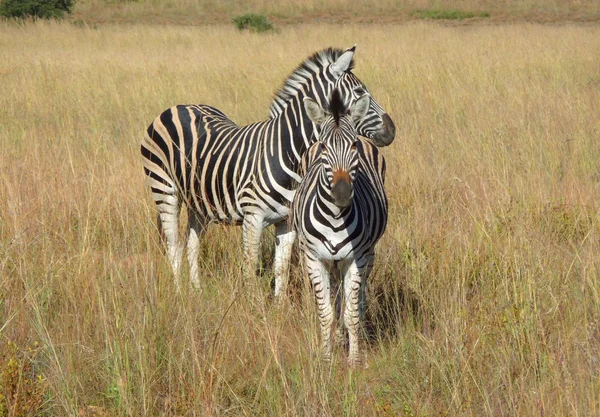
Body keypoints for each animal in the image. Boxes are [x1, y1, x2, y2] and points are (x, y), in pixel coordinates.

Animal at [141, 44, 394, 292]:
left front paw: (279, 304)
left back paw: (196, 291)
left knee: (192, 243)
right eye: (360, 92)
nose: (392, 130)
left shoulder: (287, 222)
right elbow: (249, 268)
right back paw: (179, 293)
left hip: (200, 200)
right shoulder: (253, 218)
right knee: (174, 246)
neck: (288, 153)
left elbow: (280, 268)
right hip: (165, 190)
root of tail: (178, 106)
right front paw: (252, 303)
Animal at [292, 88, 390, 368]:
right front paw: (326, 358)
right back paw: (336, 338)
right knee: (335, 296)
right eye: (325, 147)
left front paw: (355, 359)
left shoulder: (356, 258)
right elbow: (326, 312)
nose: (342, 192)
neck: (336, 218)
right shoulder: (314, 259)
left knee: (358, 297)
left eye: (353, 145)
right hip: (326, 259)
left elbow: (351, 313)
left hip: (369, 253)